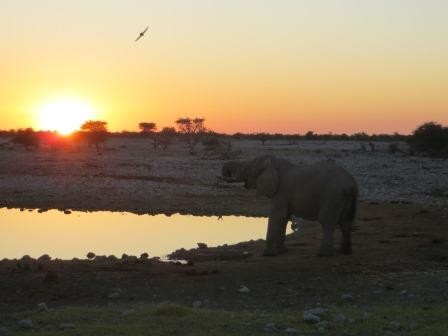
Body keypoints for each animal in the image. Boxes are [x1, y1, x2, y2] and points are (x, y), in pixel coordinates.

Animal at [221, 156, 360, 258]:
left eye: (246, 169)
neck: (273, 162)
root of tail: (351, 184)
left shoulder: (281, 192)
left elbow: (277, 216)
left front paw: (268, 254)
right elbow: (284, 217)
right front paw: (283, 251)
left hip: (332, 196)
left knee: (327, 221)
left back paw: (323, 254)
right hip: (345, 197)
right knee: (345, 221)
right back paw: (344, 252)